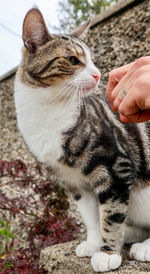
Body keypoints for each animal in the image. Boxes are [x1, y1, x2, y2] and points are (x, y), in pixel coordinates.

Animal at [14, 8, 150, 272]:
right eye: (73, 60)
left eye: (92, 60)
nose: (98, 74)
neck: (49, 109)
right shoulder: (74, 181)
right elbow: (91, 215)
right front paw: (94, 243)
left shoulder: (116, 165)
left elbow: (111, 212)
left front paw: (108, 253)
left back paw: (144, 247)